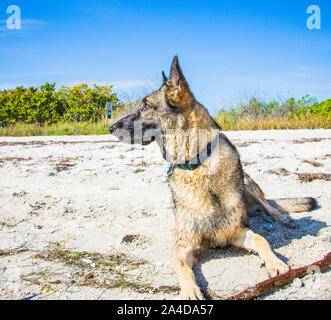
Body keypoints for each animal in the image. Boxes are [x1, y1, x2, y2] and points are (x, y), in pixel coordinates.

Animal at [109, 56, 316, 298]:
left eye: (146, 106)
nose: (111, 127)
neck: (196, 164)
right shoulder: (183, 244)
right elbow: (182, 266)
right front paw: (190, 291)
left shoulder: (239, 231)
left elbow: (262, 239)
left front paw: (275, 263)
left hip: (249, 183)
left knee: (269, 206)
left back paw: (283, 218)